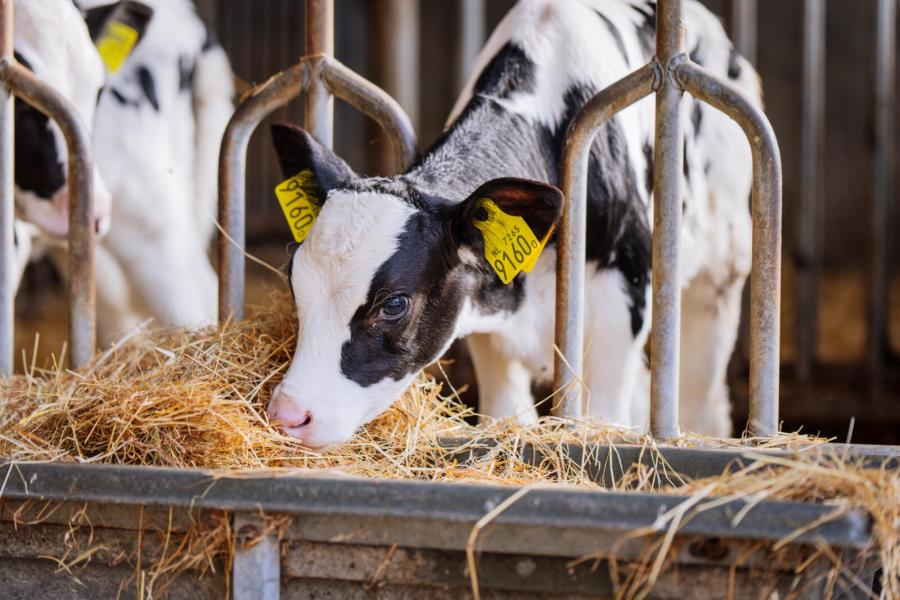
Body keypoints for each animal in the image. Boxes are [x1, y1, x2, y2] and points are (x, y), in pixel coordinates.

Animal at [266, 0, 759, 449]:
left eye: (394, 304)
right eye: (294, 279)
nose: (289, 415)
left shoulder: (623, 302)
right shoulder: (488, 319)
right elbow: (507, 419)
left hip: (721, 278)